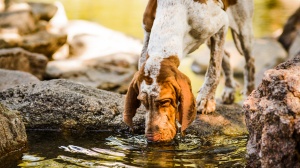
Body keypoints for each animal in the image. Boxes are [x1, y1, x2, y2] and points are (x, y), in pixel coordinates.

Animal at [123, 0, 253, 143]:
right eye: (143, 102)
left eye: (165, 101)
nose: (152, 138)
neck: (172, 11)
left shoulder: (221, 23)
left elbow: (214, 69)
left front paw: (207, 100)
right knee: (227, 57)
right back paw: (229, 89)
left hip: (242, 28)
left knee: (249, 61)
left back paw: (248, 95)